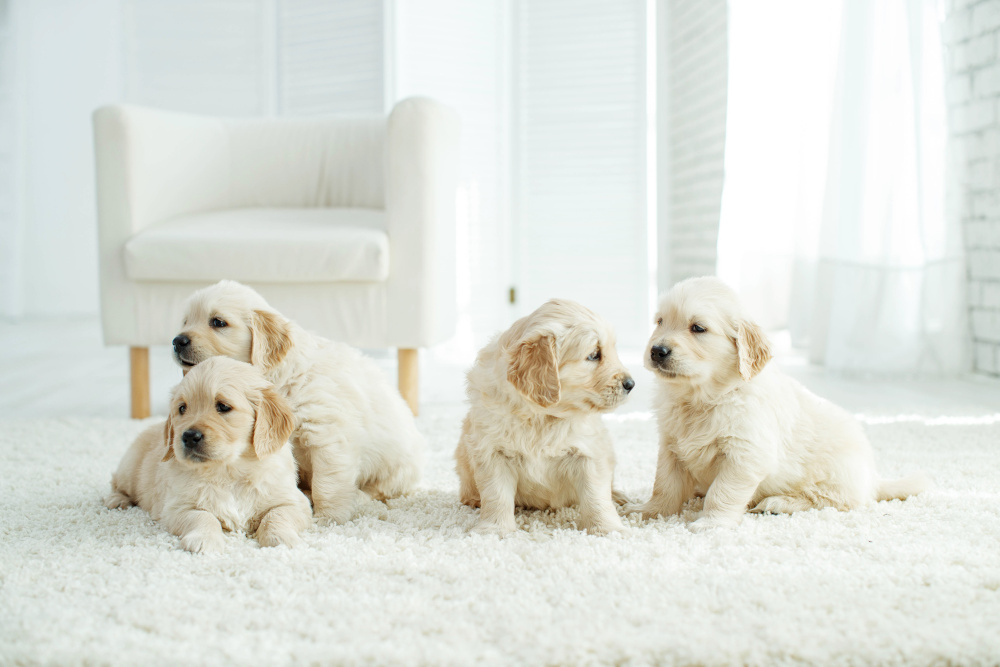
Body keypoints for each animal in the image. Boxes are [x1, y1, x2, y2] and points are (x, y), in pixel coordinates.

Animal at [104, 358, 310, 556]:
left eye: (223, 406)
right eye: (182, 408)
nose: (189, 436)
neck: (229, 471)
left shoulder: (295, 501)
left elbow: (277, 515)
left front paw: (280, 538)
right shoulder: (177, 507)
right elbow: (203, 516)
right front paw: (204, 540)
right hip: (130, 468)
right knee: (116, 482)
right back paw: (117, 500)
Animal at [172, 280, 422, 524]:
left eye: (218, 322)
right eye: (185, 321)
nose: (177, 340)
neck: (280, 378)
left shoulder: (326, 435)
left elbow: (327, 484)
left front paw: (328, 518)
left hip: (397, 466)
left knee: (384, 490)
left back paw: (358, 496)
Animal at [456, 298, 632, 536]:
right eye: (594, 355)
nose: (631, 384)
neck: (542, 417)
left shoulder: (589, 452)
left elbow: (596, 496)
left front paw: (607, 528)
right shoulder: (492, 452)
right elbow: (496, 495)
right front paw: (495, 528)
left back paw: (619, 497)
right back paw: (473, 499)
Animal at [632, 276, 928, 532]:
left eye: (698, 328)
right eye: (659, 321)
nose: (656, 351)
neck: (701, 398)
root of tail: (873, 479)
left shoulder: (746, 454)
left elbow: (722, 491)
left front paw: (711, 522)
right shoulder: (671, 446)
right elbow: (664, 485)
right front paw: (647, 511)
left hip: (833, 476)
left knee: (831, 501)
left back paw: (777, 503)